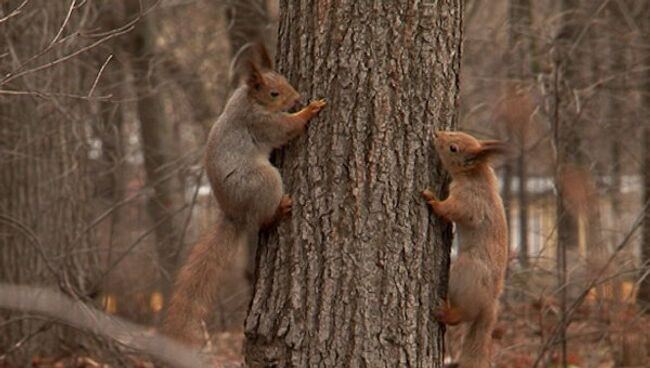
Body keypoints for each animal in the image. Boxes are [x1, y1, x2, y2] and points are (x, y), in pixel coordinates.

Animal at [162, 43, 324, 344]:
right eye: (273, 94)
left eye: (284, 79)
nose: (297, 97)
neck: (249, 100)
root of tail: (234, 213)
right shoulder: (261, 123)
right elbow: (287, 128)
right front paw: (310, 110)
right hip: (264, 182)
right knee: (260, 221)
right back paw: (279, 211)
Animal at [422, 131, 508, 366]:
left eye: (453, 148)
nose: (436, 134)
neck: (477, 175)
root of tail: (490, 304)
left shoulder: (471, 201)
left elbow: (455, 210)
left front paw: (433, 200)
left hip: (465, 272)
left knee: (463, 316)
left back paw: (445, 313)